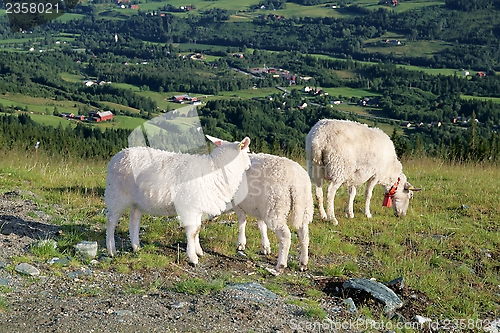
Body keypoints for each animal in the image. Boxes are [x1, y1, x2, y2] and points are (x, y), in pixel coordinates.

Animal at [106, 136, 254, 264]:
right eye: (247, 151)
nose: (249, 165)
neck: (217, 169)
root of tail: (119, 154)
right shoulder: (190, 206)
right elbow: (192, 232)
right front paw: (193, 257)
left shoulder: (197, 208)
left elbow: (197, 230)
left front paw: (199, 251)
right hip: (116, 195)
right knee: (111, 222)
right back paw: (111, 250)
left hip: (137, 200)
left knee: (134, 220)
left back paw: (136, 246)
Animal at [207, 134, 312, 272]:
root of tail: (295, 182)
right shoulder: (260, 207)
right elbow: (262, 226)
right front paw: (265, 247)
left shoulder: (239, 204)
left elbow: (242, 222)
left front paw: (241, 244)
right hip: (303, 207)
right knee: (304, 235)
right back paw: (303, 263)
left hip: (275, 208)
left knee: (285, 236)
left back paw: (281, 264)